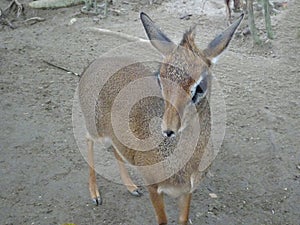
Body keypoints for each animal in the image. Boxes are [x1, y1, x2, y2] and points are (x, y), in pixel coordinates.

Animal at [79, 12, 244, 225]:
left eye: (199, 87)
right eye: (159, 77)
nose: (168, 129)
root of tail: (92, 65)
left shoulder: (187, 192)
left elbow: (183, 220)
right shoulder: (154, 188)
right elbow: (163, 221)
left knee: (116, 149)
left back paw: (131, 187)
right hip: (96, 130)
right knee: (87, 138)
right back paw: (95, 195)